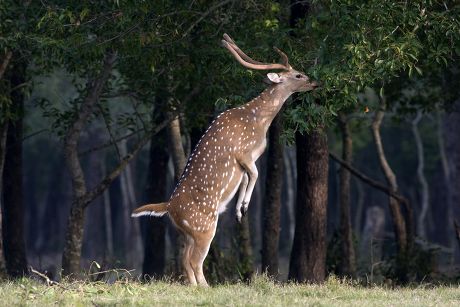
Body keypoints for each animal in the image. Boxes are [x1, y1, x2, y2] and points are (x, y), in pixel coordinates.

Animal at [132, 33, 320, 286]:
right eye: (298, 75)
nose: (315, 83)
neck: (258, 121)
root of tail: (168, 207)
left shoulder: (248, 160)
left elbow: (247, 178)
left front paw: (240, 211)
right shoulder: (243, 152)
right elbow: (255, 175)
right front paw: (244, 206)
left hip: (187, 232)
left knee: (184, 259)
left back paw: (196, 287)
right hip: (204, 227)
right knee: (194, 260)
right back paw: (206, 287)